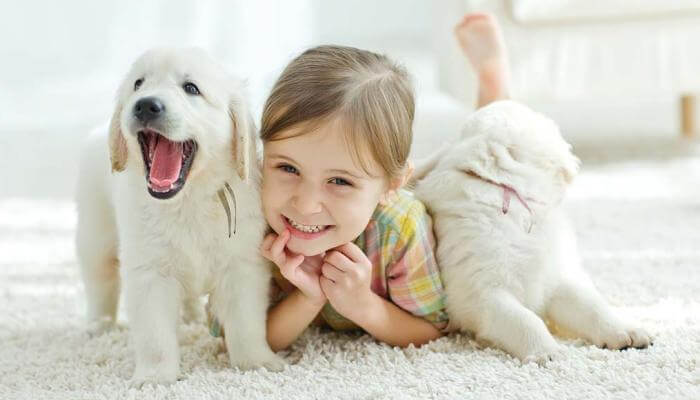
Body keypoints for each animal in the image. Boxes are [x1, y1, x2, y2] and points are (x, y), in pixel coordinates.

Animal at [416, 101, 652, 364]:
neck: (506, 194)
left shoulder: (554, 278)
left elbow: (590, 305)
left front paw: (623, 330)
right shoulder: (481, 294)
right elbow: (525, 320)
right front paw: (546, 351)